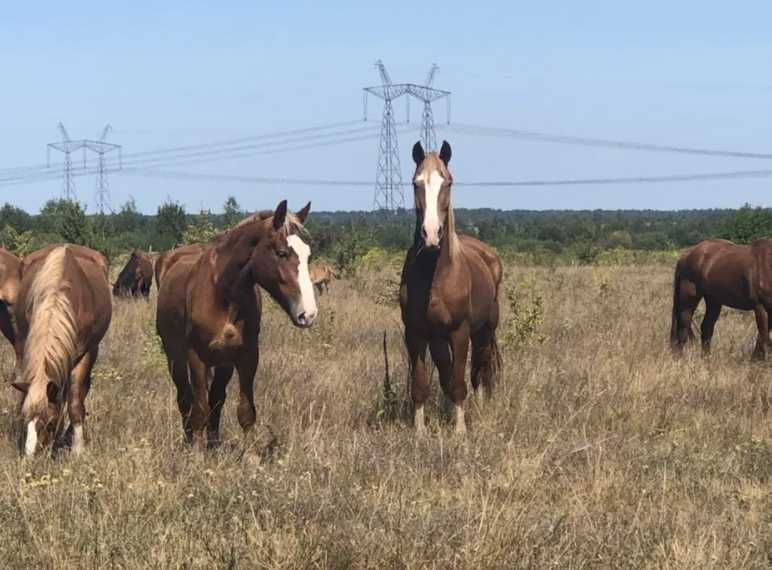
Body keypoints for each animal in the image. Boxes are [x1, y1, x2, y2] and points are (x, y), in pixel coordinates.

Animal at [11, 242, 113, 454]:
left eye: (50, 423)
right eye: (26, 420)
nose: (31, 456)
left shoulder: (86, 353)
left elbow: (75, 401)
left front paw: (77, 449)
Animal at [157, 200, 316, 448]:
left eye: (307, 254)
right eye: (281, 252)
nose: (308, 314)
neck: (222, 293)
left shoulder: (246, 354)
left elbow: (245, 411)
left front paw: (250, 454)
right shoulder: (196, 356)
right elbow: (199, 409)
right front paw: (195, 453)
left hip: (223, 363)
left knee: (216, 398)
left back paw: (213, 444)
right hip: (174, 355)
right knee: (184, 398)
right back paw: (190, 440)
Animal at [402, 142, 504, 434]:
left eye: (447, 182)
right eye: (416, 183)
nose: (431, 234)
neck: (435, 274)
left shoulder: (460, 332)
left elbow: (460, 381)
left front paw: (460, 431)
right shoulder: (415, 334)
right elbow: (422, 384)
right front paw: (420, 431)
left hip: (484, 331)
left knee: (479, 370)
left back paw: (477, 407)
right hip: (438, 339)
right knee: (447, 373)